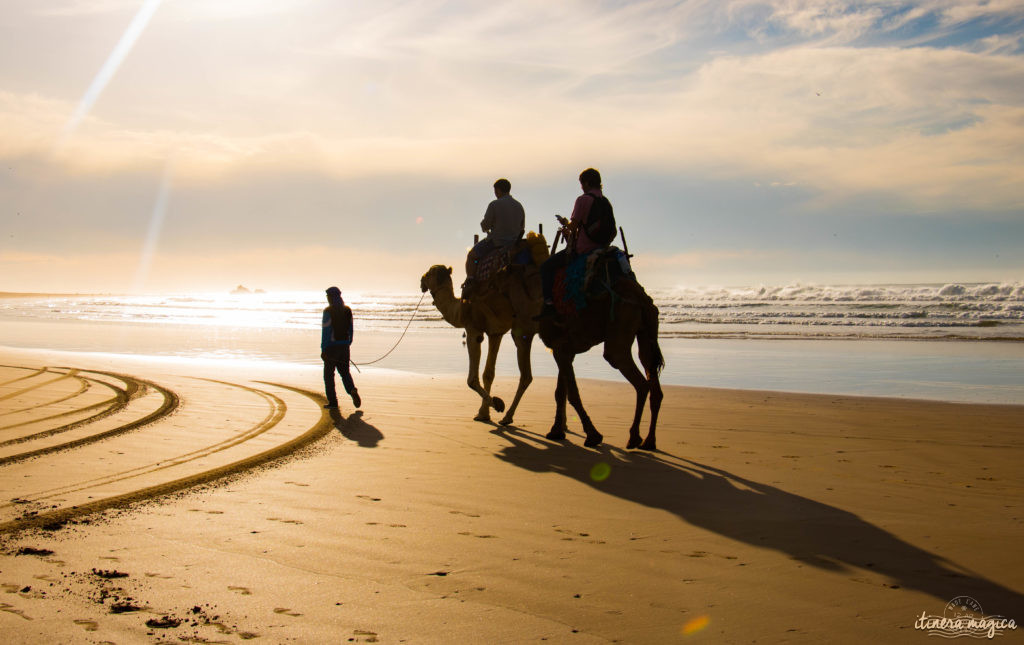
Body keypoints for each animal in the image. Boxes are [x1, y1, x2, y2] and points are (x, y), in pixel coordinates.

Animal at [417, 254, 544, 427]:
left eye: (429, 273)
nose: (421, 281)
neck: (460, 309)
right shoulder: (495, 333)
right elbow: (488, 374)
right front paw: (483, 414)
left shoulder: (474, 331)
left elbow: (472, 379)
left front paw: (497, 404)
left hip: (524, 328)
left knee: (526, 375)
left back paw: (507, 417)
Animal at [536, 260, 663, 452]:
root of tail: (641, 297)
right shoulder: (564, 349)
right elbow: (560, 392)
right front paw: (556, 431)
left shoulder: (560, 347)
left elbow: (572, 394)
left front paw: (593, 435)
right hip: (647, 333)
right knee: (652, 379)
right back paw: (649, 441)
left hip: (620, 327)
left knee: (639, 381)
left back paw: (634, 437)